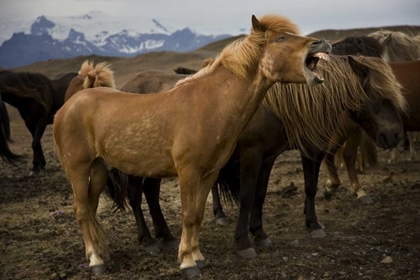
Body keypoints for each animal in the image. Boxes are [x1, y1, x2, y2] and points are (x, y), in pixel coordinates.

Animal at [51, 14, 332, 276]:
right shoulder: (188, 172)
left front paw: (197, 256)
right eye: (281, 38)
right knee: (82, 210)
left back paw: (100, 253)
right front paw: (187, 262)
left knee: (91, 208)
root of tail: (68, 106)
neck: (211, 104)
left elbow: (197, 214)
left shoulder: (210, 173)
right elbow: (188, 215)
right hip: (79, 169)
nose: (321, 43)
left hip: (99, 168)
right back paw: (96, 260)